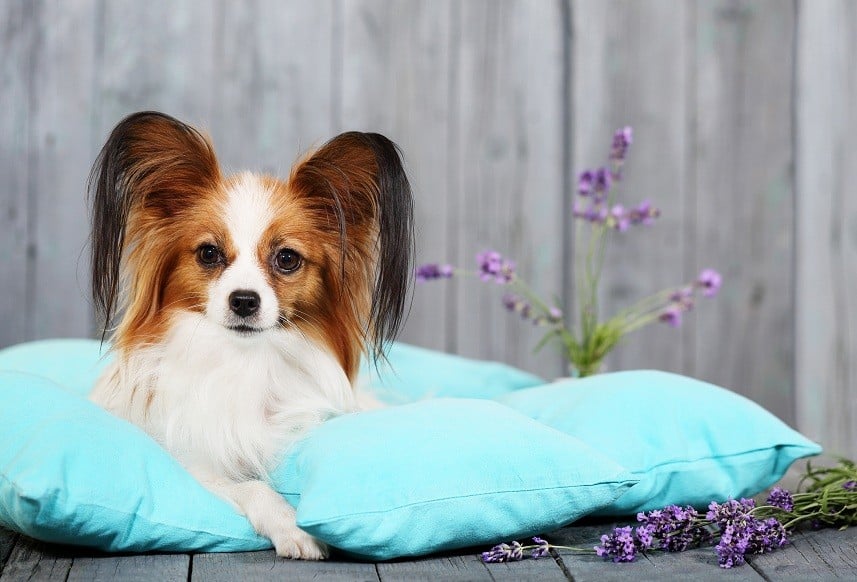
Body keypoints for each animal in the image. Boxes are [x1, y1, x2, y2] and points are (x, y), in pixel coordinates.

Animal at [91, 110, 414, 560]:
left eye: (287, 258)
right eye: (209, 253)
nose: (244, 300)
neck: (244, 361)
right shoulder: (191, 462)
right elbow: (250, 485)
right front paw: (292, 525)